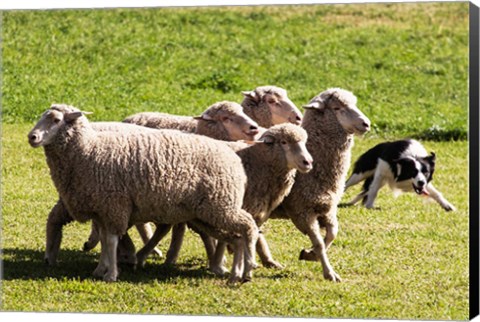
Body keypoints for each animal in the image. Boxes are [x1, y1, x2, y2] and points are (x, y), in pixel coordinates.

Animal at [28, 104, 260, 284]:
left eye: (56, 119)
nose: (32, 137)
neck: (88, 149)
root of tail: (235, 159)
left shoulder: (114, 205)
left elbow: (110, 240)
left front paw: (111, 274)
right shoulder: (103, 208)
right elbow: (105, 239)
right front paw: (101, 269)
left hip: (220, 206)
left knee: (248, 226)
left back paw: (247, 269)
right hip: (208, 214)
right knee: (236, 237)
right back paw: (235, 274)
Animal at [270, 87, 372, 282]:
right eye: (337, 108)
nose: (366, 123)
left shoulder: (327, 207)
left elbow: (332, 234)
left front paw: (309, 254)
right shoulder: (302, 211)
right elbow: (319, 242)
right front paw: (329, 273)